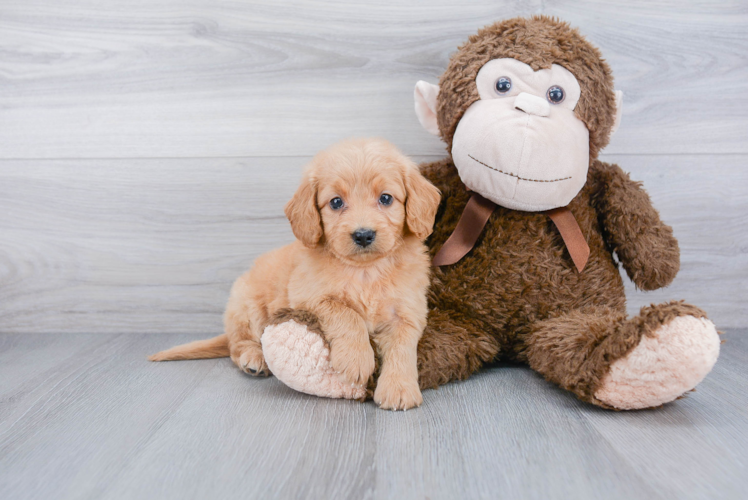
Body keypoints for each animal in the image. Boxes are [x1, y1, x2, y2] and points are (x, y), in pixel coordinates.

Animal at [153, 138, 444, 410]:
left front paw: (398, 388)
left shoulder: (408, 312)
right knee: (238, 344)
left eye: (386, 198)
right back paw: (254, 358)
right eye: (336, 202)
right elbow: (346, 313)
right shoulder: (309, 296)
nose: (363, 235)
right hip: (247, 307)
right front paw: (357, 359)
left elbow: (402, 348)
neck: (365, 271)